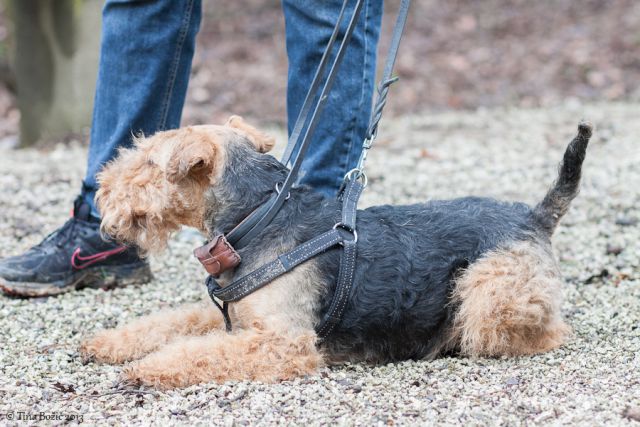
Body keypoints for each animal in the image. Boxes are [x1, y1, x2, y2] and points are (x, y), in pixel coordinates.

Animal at [81, 115, 596, 390]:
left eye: (149, 162)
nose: (101, 191)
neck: (259, 216)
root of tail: (534, 216)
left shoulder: (282, 342)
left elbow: (190, 353)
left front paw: (143, 369)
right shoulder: (239, 319)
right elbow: (171, 325)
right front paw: (106, 344)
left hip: (487, 298)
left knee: (542, 333)